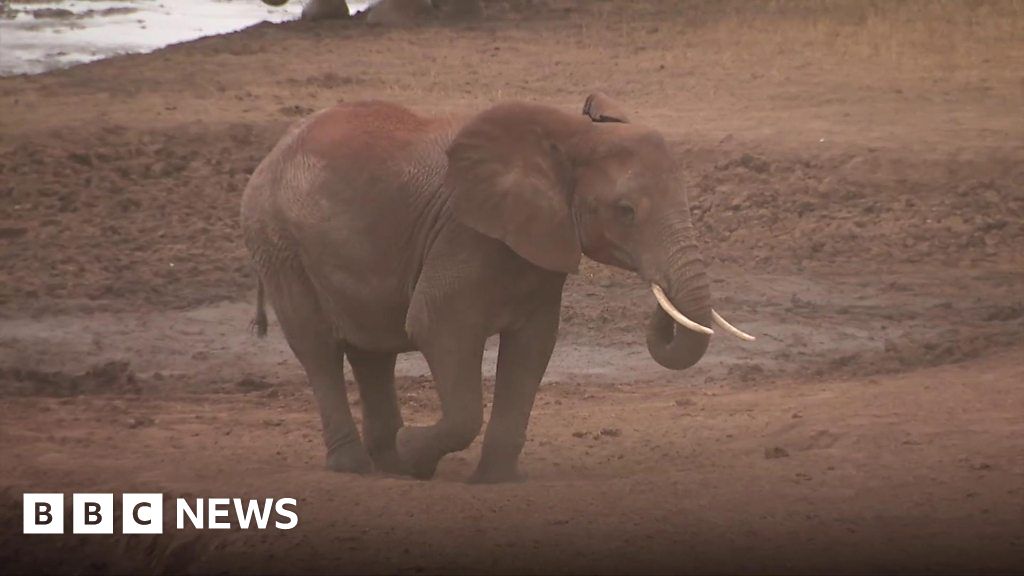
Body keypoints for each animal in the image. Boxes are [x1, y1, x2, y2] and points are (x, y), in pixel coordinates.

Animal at [240, 93, 754, 482]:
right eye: (625, 211)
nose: (659, 296)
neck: (573, 137)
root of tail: (268, 157)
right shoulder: (465, 235)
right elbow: (436, 328)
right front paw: (417, 451)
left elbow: (533, 347)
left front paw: (494, 479)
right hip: (278, 242)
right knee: (319, 350)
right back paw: (356, 466)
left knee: (372, 352)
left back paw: (388, 462)